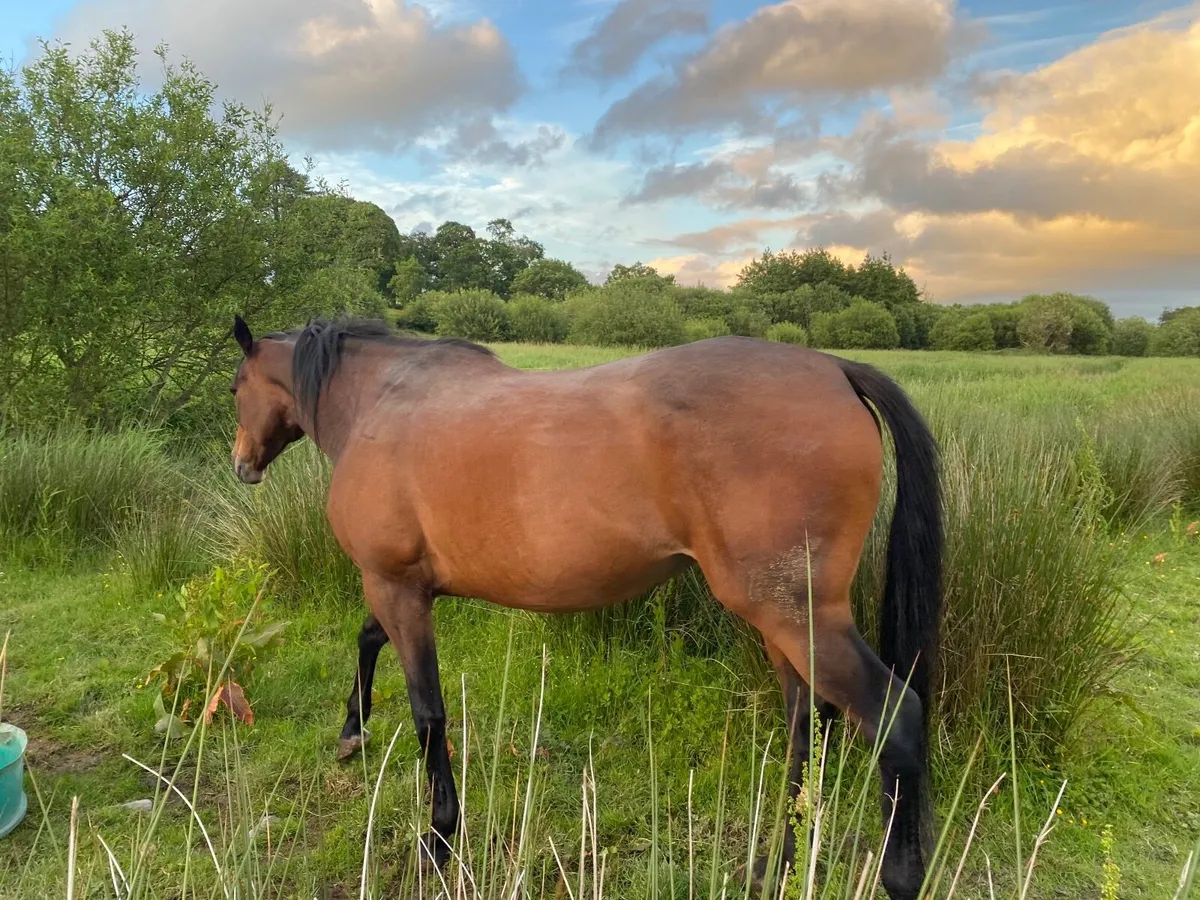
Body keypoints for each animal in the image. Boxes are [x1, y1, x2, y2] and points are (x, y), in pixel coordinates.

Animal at [227, 314, 943, 900]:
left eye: (235, 387)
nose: (241, 464)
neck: (380, 400)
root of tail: (835, 369)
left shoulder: (394, 585)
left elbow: (429, 715)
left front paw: (439, 840)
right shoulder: (398, 587)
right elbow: (367, 638)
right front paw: (352, 731)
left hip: (796, 615)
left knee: (895, 716)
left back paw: (898, 875)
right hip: (786, 624)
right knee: (806, 723)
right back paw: (777, 863)